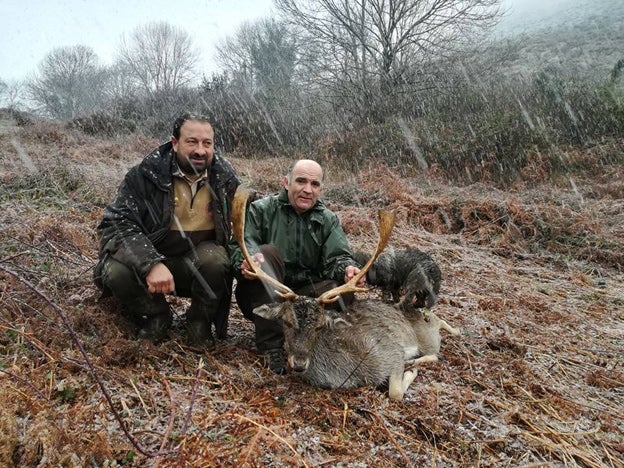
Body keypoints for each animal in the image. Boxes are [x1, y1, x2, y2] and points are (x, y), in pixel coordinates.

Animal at [232, 188, 432, 400]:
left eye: (319, 326)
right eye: (286, 322)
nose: (299, 364)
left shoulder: (392, 352)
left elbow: (395, 392)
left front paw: (411, 369)